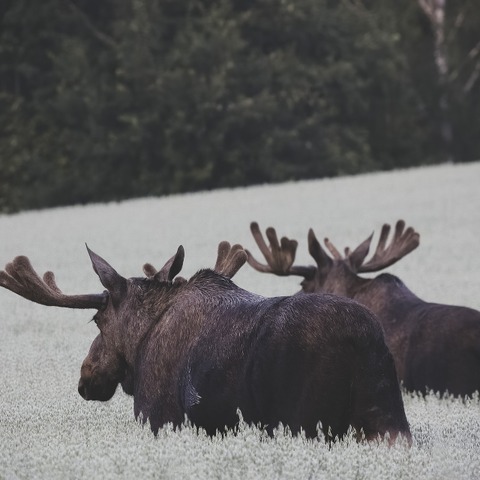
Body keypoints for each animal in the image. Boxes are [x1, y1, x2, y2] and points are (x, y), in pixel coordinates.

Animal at [0, 242, 412, 444]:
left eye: (97, 320)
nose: (86, 377)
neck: (142, 341)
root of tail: (364, 344)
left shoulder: (158, 417)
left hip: (306, 422)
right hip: (389, 422)